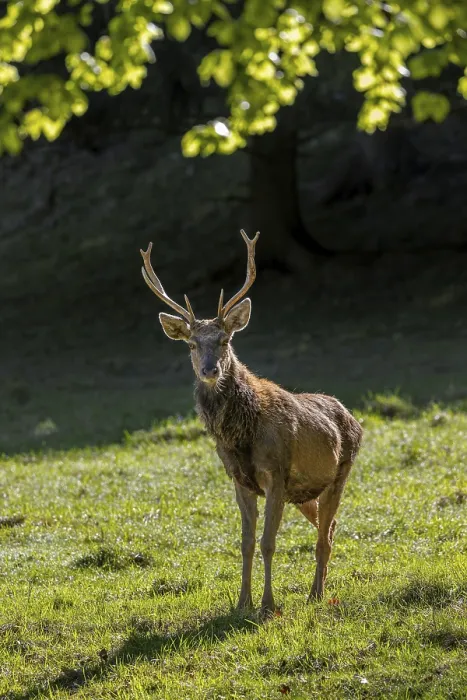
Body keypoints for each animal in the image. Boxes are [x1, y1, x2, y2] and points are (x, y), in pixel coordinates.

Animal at [140, 230, 363, 614]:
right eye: (192, 344)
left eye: (225, 340)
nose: (209, 370)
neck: (240, 436)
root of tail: (352, 417)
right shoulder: (239, 479)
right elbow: (245, 543)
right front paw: (242, 602)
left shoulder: (277, 472)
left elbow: (267, 543)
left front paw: (267, 605)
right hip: (306, 494)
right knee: (329, 526)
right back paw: (320, 589)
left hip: (340, 473)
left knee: (325, 534)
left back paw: (316, 594)